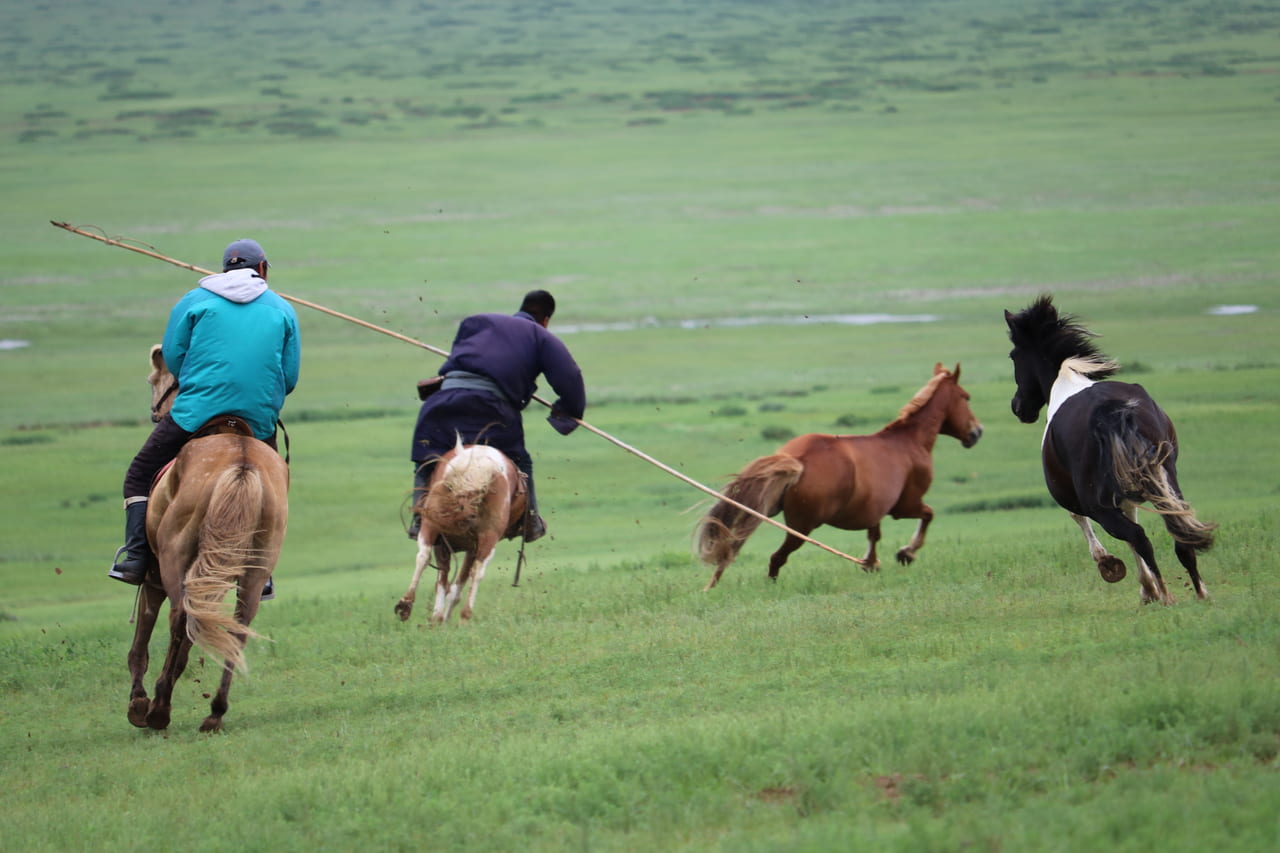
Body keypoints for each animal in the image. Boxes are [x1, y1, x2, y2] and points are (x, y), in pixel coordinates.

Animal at [122, 345, 288, 732]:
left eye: (152, 379)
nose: (154, 412)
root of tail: (242, 463)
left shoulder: (153, 579)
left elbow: (142, 644)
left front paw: (138, 704)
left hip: (173, 563)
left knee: (180, 620)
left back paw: (159, 709)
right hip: (253, 571)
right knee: (237, 627)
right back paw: (215, 711)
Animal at [701, 361, 977, 589]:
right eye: (966, 397)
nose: (976, 432)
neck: (910, 441)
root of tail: (798, 458)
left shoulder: (875, 508)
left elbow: (874, 534)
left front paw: (871, 563)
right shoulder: (905, 506)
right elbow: (928, 515)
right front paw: (906, 553)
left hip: (761, 510)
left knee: (732, 548)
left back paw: (712, 585)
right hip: (802, 526)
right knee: (776, 558)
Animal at [1003, 295, 1213, 601]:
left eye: (1013, 356)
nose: (1018, 407)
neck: (1066, 381)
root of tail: (1109, 410)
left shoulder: (1077, 497)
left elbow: (1079, 517)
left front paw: (1114, 567)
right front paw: (1145, 587)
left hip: (1099, 502)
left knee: (1137, 535)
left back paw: (1164, 594)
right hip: (1166, 478)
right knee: (1178, 529)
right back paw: (1200, 592)